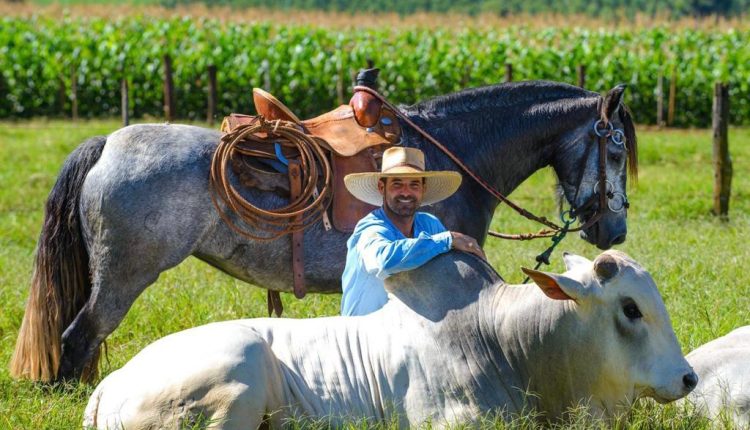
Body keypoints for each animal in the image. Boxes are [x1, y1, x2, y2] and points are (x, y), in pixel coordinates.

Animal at [10, 79, 640, 382]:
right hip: (122, 279)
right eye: (614, 150)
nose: (614, 229)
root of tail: (107, 144)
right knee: (78, 338)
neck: (452, 153)